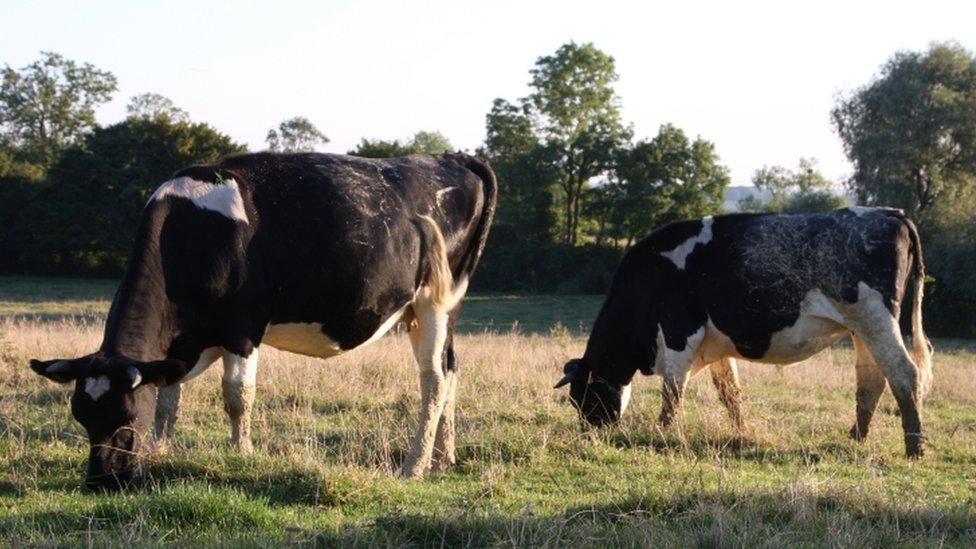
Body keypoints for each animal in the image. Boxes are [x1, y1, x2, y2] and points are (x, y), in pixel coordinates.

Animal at [30, 150, 496, 488]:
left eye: (126, 417)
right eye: (81, 418)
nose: (103, 482)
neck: (190, 232)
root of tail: (451, 157)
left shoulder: (242, 327)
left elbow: (237, 396)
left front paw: (242, 453)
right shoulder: (184, 342)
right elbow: (168, 397)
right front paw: (161, 450)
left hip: (436, 302)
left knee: (433, 379)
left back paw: (414, 466)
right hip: (431, 311)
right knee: (451, 371)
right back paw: (443, 458)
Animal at [556, 208, 932, 456]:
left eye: (584, 397)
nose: (589, 435)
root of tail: (889, 213)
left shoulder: (680, 334)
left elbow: (672, 393)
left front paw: (661, 432)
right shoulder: (717, 347)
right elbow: (730, 394)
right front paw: (741, 431)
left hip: (875, 318)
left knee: (904, 373)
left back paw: (914, 447)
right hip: (862, 329)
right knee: (872, 379)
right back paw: (857, 436)